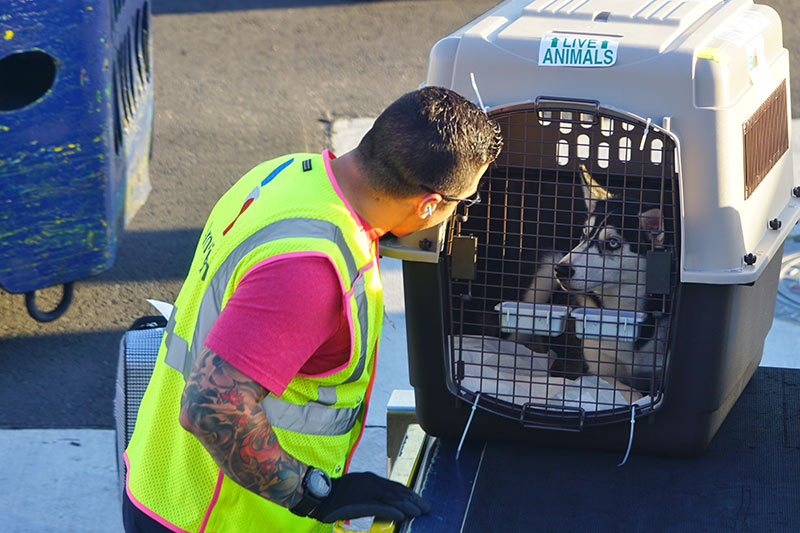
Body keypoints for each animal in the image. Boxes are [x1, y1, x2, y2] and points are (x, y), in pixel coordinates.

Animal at [552, 166, 672, 404]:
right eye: (583, 234)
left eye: (613, 243)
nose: (561, 270)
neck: (621, 311)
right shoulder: (585, 368)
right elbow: (630, 392)